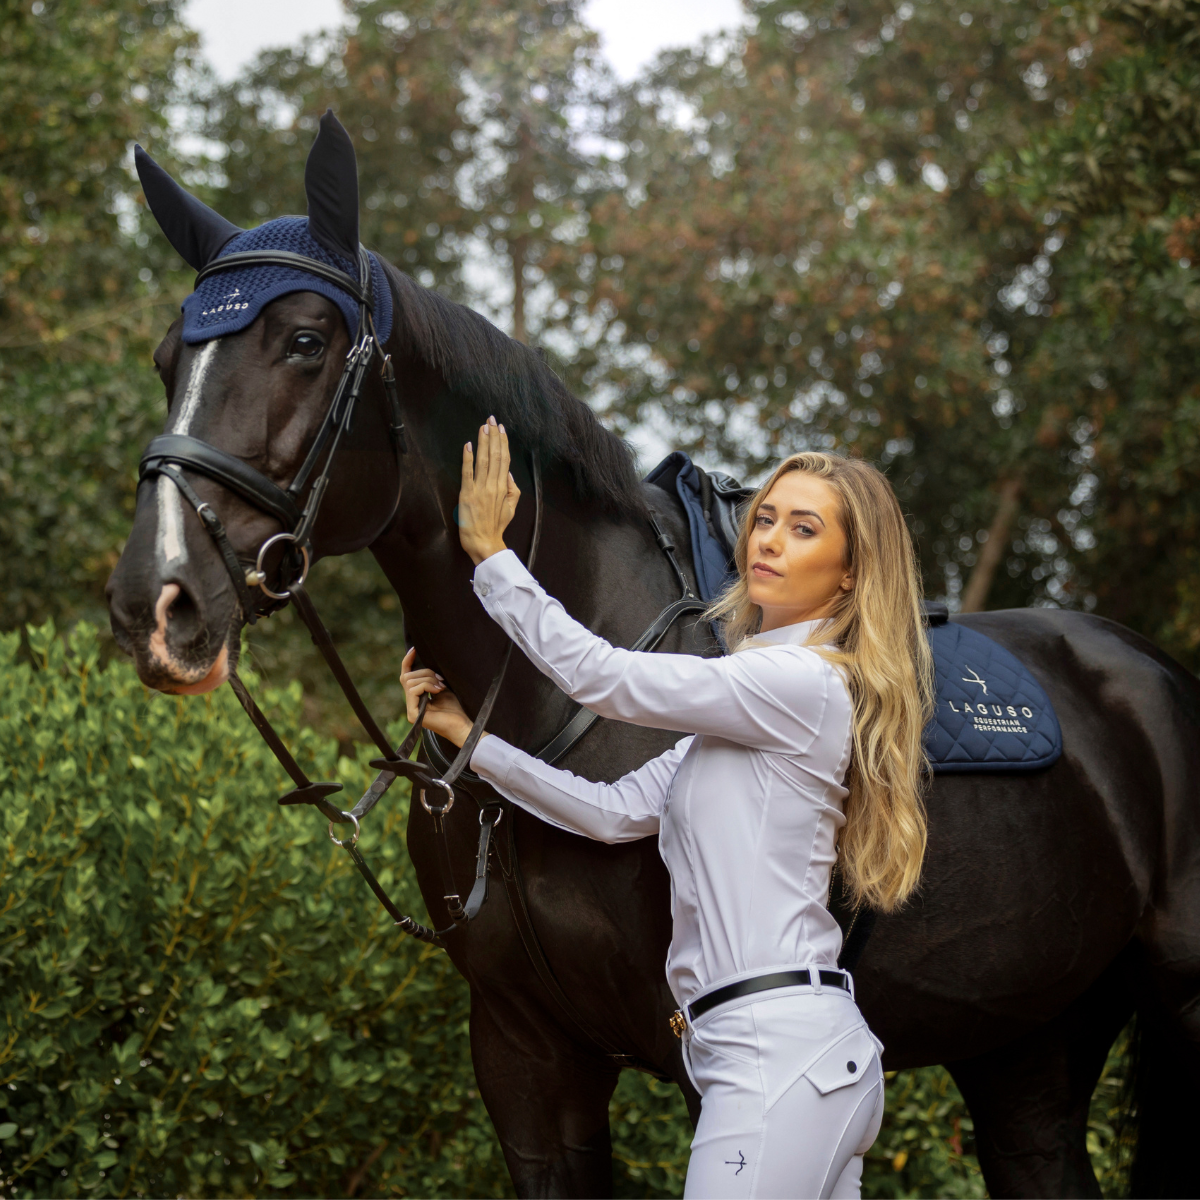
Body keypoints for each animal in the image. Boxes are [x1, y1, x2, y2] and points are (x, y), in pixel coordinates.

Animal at [106, 117, 1200, 1199]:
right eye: (165, 359)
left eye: (303, 341)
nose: (155, 600)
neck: (541, 721)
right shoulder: (525, 1057)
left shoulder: (688, 1047)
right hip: (1028, 1047)